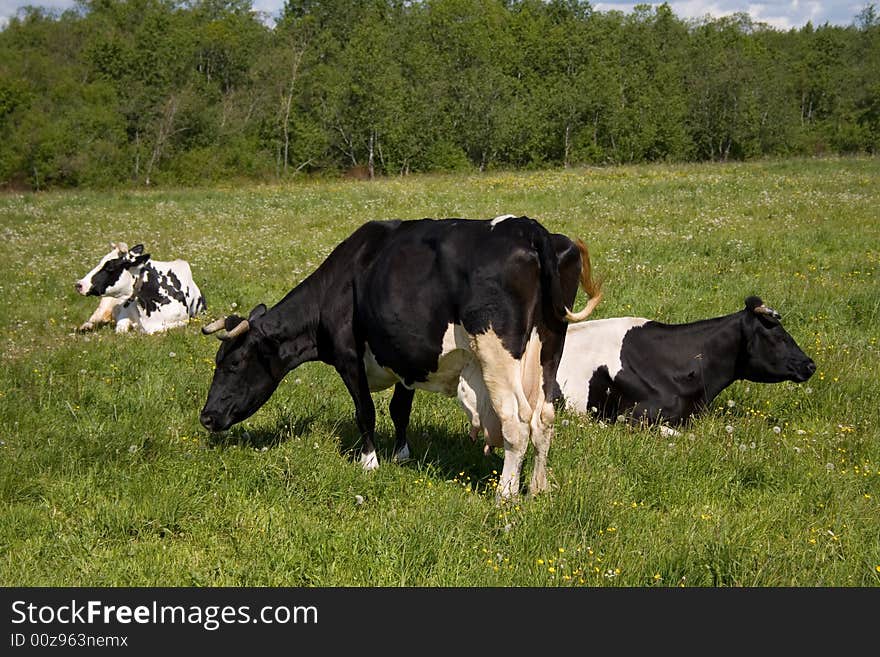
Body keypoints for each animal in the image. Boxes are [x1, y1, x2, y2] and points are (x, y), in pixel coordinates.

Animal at [198, 215, 600, 498]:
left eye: (233, 363)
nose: (206, 417)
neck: (341, 280)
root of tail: (529, 229)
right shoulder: (407, 357)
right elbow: (399, 410)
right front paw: (402, 454)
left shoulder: (348, 357)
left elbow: (366, 412)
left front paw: (370, 462)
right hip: (551, 344)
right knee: (544, 418)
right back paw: (537, 488)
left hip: (496, 353)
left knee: (516, 422)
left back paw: (506, 496)